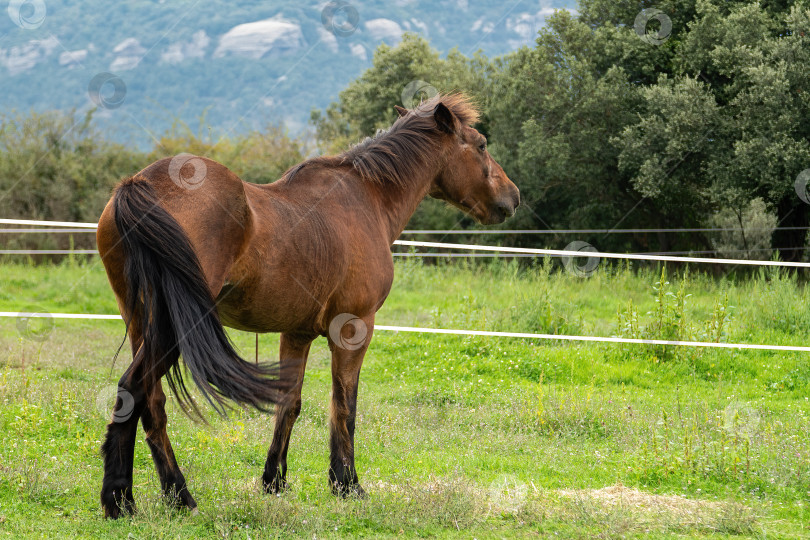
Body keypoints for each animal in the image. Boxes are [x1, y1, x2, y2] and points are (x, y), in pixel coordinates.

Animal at [94, 94, 516, 520]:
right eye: (481, 145)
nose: (512, 197)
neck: (367, 198)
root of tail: (139, 184)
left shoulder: (295, 334)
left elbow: (289, 404)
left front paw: (274, 481)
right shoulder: (354, 329)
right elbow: (345, 406)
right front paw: (347, 484)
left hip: (140, 323)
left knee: (152, 402)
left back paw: (165, 495)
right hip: (172, 328)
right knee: (133, 388)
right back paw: (128, 498)